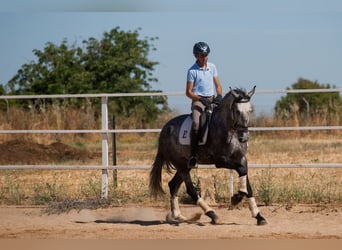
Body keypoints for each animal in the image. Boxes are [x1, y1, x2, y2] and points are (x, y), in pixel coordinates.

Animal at [150, 86, 268, 225]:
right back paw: (212, 215)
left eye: (250, 110)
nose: (244, 137)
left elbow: (247, 183)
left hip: (185, 165)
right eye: (237, 111)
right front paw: (236, 199)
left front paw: (259, 216)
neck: (229, 130)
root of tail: (165, 129)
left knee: (173, 185)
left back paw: (179, 216)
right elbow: (241, 170)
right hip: (181, 165)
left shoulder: (242, 159)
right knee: (191, 190)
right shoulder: (221, 160)